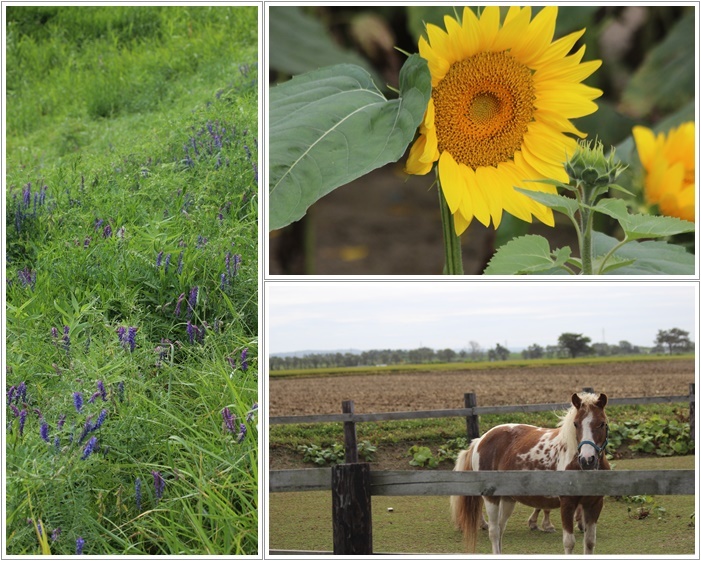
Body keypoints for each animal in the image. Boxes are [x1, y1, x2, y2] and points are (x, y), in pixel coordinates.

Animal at [454, 392, 608, 552]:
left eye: (602, 423)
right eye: (576, 424)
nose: (587, 460)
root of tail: (479, 440)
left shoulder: (594, 504)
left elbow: (589, 542)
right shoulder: (567, 504)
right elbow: (569, 543)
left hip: (508, 499)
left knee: (501, 528)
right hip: (491, 498)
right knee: (494, 532)